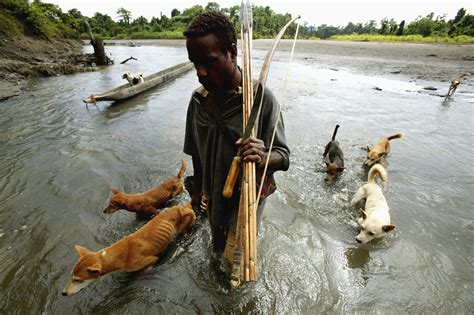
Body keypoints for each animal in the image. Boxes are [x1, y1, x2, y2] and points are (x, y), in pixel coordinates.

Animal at [62, 204, 195, 298]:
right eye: (71, 276)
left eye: (78, 280)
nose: (63, 293)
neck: (118, 255)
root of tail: (185, 206)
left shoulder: (152, 260)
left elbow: (142, 271)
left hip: (184, 225)